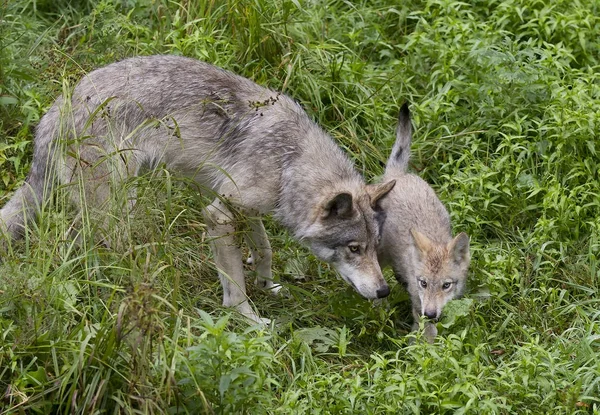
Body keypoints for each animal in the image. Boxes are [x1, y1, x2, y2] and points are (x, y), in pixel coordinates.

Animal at [0, 56, 396, 324]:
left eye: (375, 247)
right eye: (354, 248)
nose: (385, 291)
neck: (290, 161)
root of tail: (58, 106)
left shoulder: (247, 208)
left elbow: (265, 249)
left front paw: (268, 284)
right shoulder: (219, 216)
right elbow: (235, 287)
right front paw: (249, 320)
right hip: (117, 208)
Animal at [380, 105, 468, 342]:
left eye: (446, 285)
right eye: (424, 283)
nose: (430, 313)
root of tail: (398, 177)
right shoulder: (416, 296)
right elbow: (422, 326)